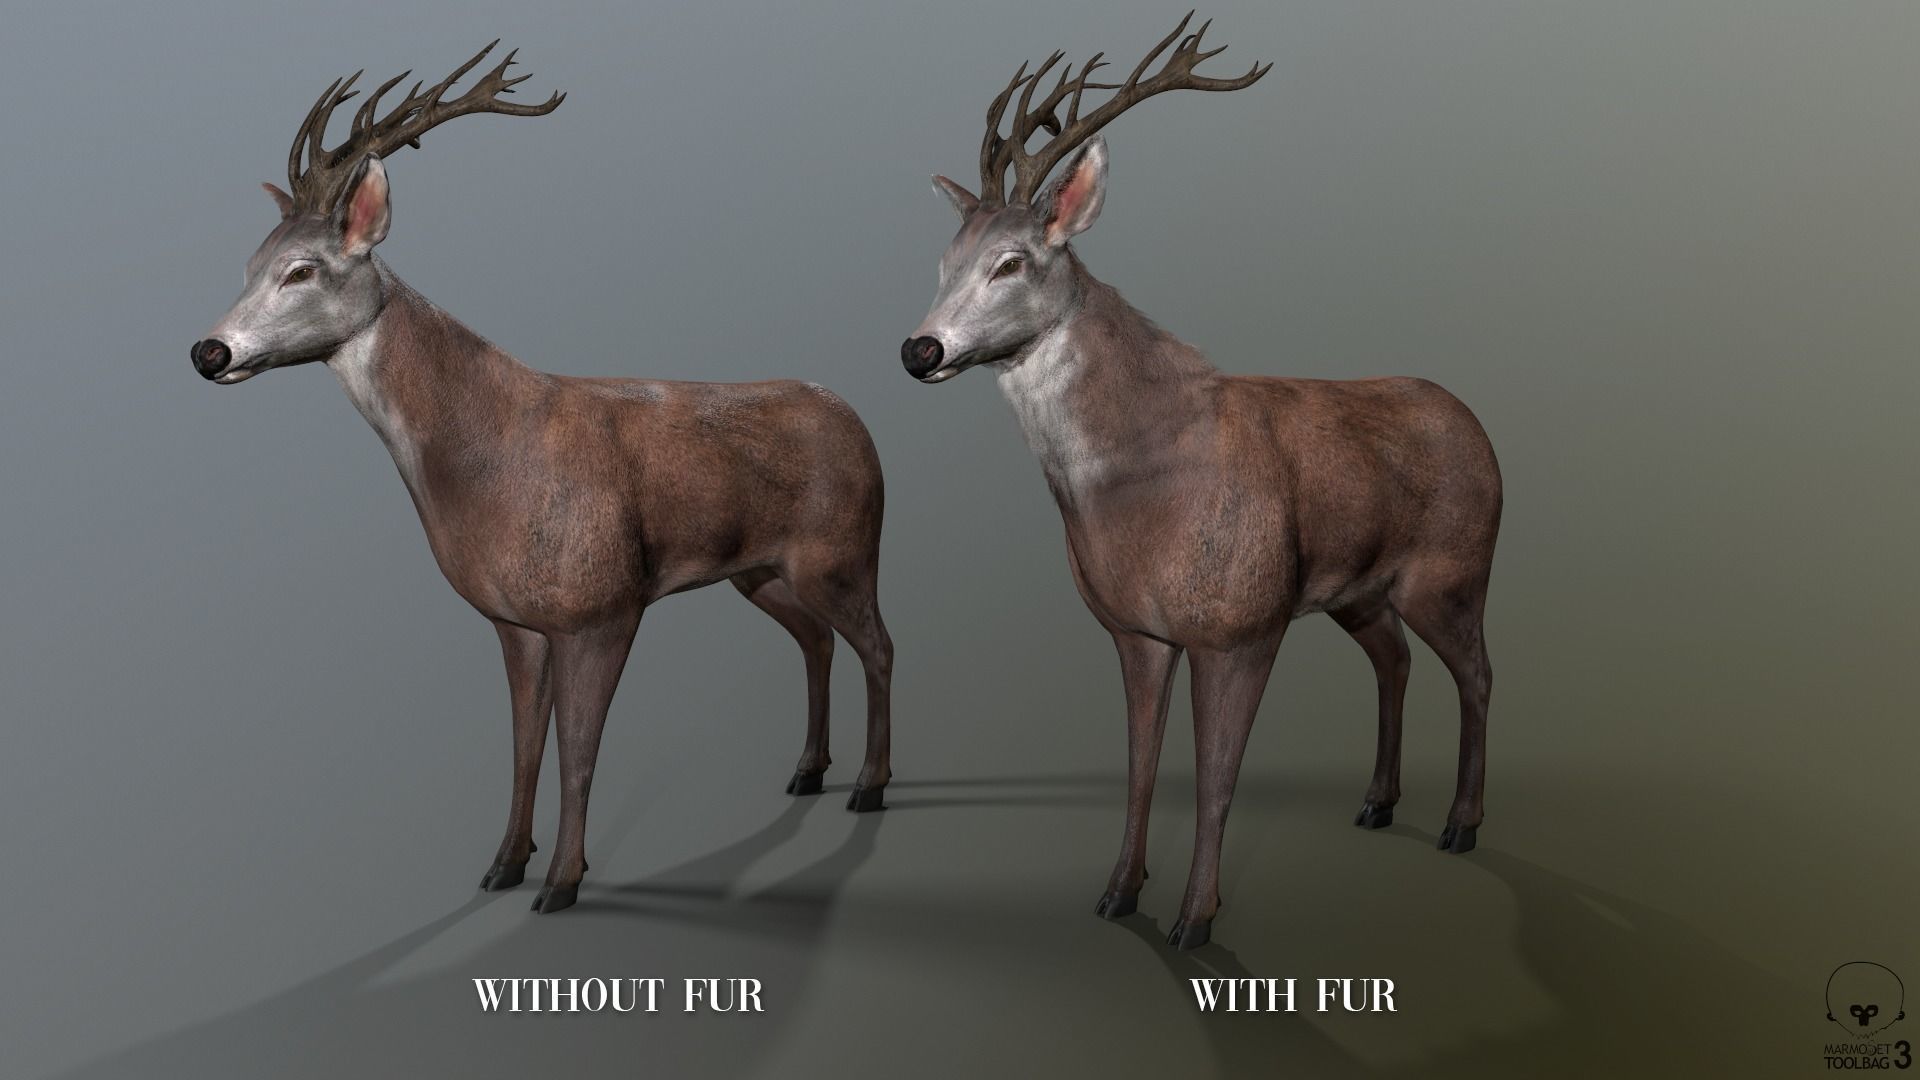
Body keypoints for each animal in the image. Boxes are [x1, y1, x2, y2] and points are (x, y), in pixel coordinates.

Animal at [190, 43, 894, 915]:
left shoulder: (603, 604)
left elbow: (578, 751)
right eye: (248, 263)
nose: (208, 352)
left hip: (844, 550)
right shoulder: (515, 619)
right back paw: (806, 772)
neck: (489, 461)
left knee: (879, 643)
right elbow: (525, 745)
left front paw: (561, 881)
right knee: (818, 640)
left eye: (301, 270)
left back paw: (870, 785)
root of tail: (860, 424)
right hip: (762, 571)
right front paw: (503, 863)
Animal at [901, 14, 1502, 950]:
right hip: (1358, 591)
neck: (1141, 483)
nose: (918, 349)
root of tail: (1480, 427)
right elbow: (1143, 768)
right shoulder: (1136, 630)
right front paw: (1118, 892)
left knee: (1477, 672)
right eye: (944, 260)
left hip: (1452, 571)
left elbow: (1216, 780)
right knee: (1396, 658)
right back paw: (1377, 803)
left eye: (1010, 262)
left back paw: (1461, 824)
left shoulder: (1242, 624)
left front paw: (1195, 920)